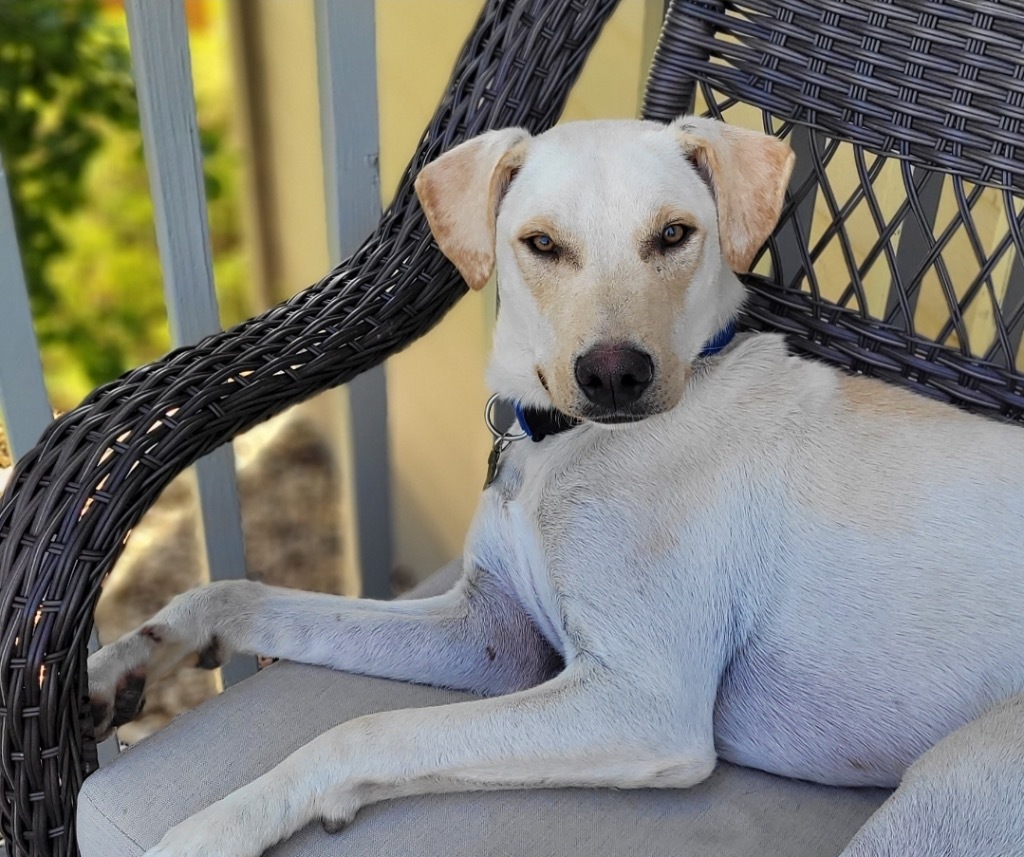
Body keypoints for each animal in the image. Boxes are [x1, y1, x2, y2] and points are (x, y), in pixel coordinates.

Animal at [88, 115, 1024, 855]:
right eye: (541, 243)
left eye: (675, 234)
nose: (615, 375)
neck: (565, 448)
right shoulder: (492, 636)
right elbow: (250, 596)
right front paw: (139, 651)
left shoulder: (639, 701)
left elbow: (360, 730)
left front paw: (215, 826)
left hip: (952, 783)